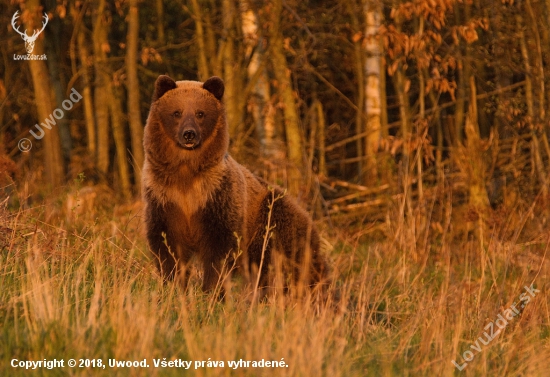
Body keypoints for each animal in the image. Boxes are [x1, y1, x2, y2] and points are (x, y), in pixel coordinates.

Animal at [143, 73, 332, 290]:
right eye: (177, 112)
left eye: (200, 113)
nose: (189, 134)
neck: (186, 173)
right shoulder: (164, 199)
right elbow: (168, 250)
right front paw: (172, 285)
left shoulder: (218, 200)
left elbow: (218, 253)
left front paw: (212, 289)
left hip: (272, 219)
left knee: (294, 260)